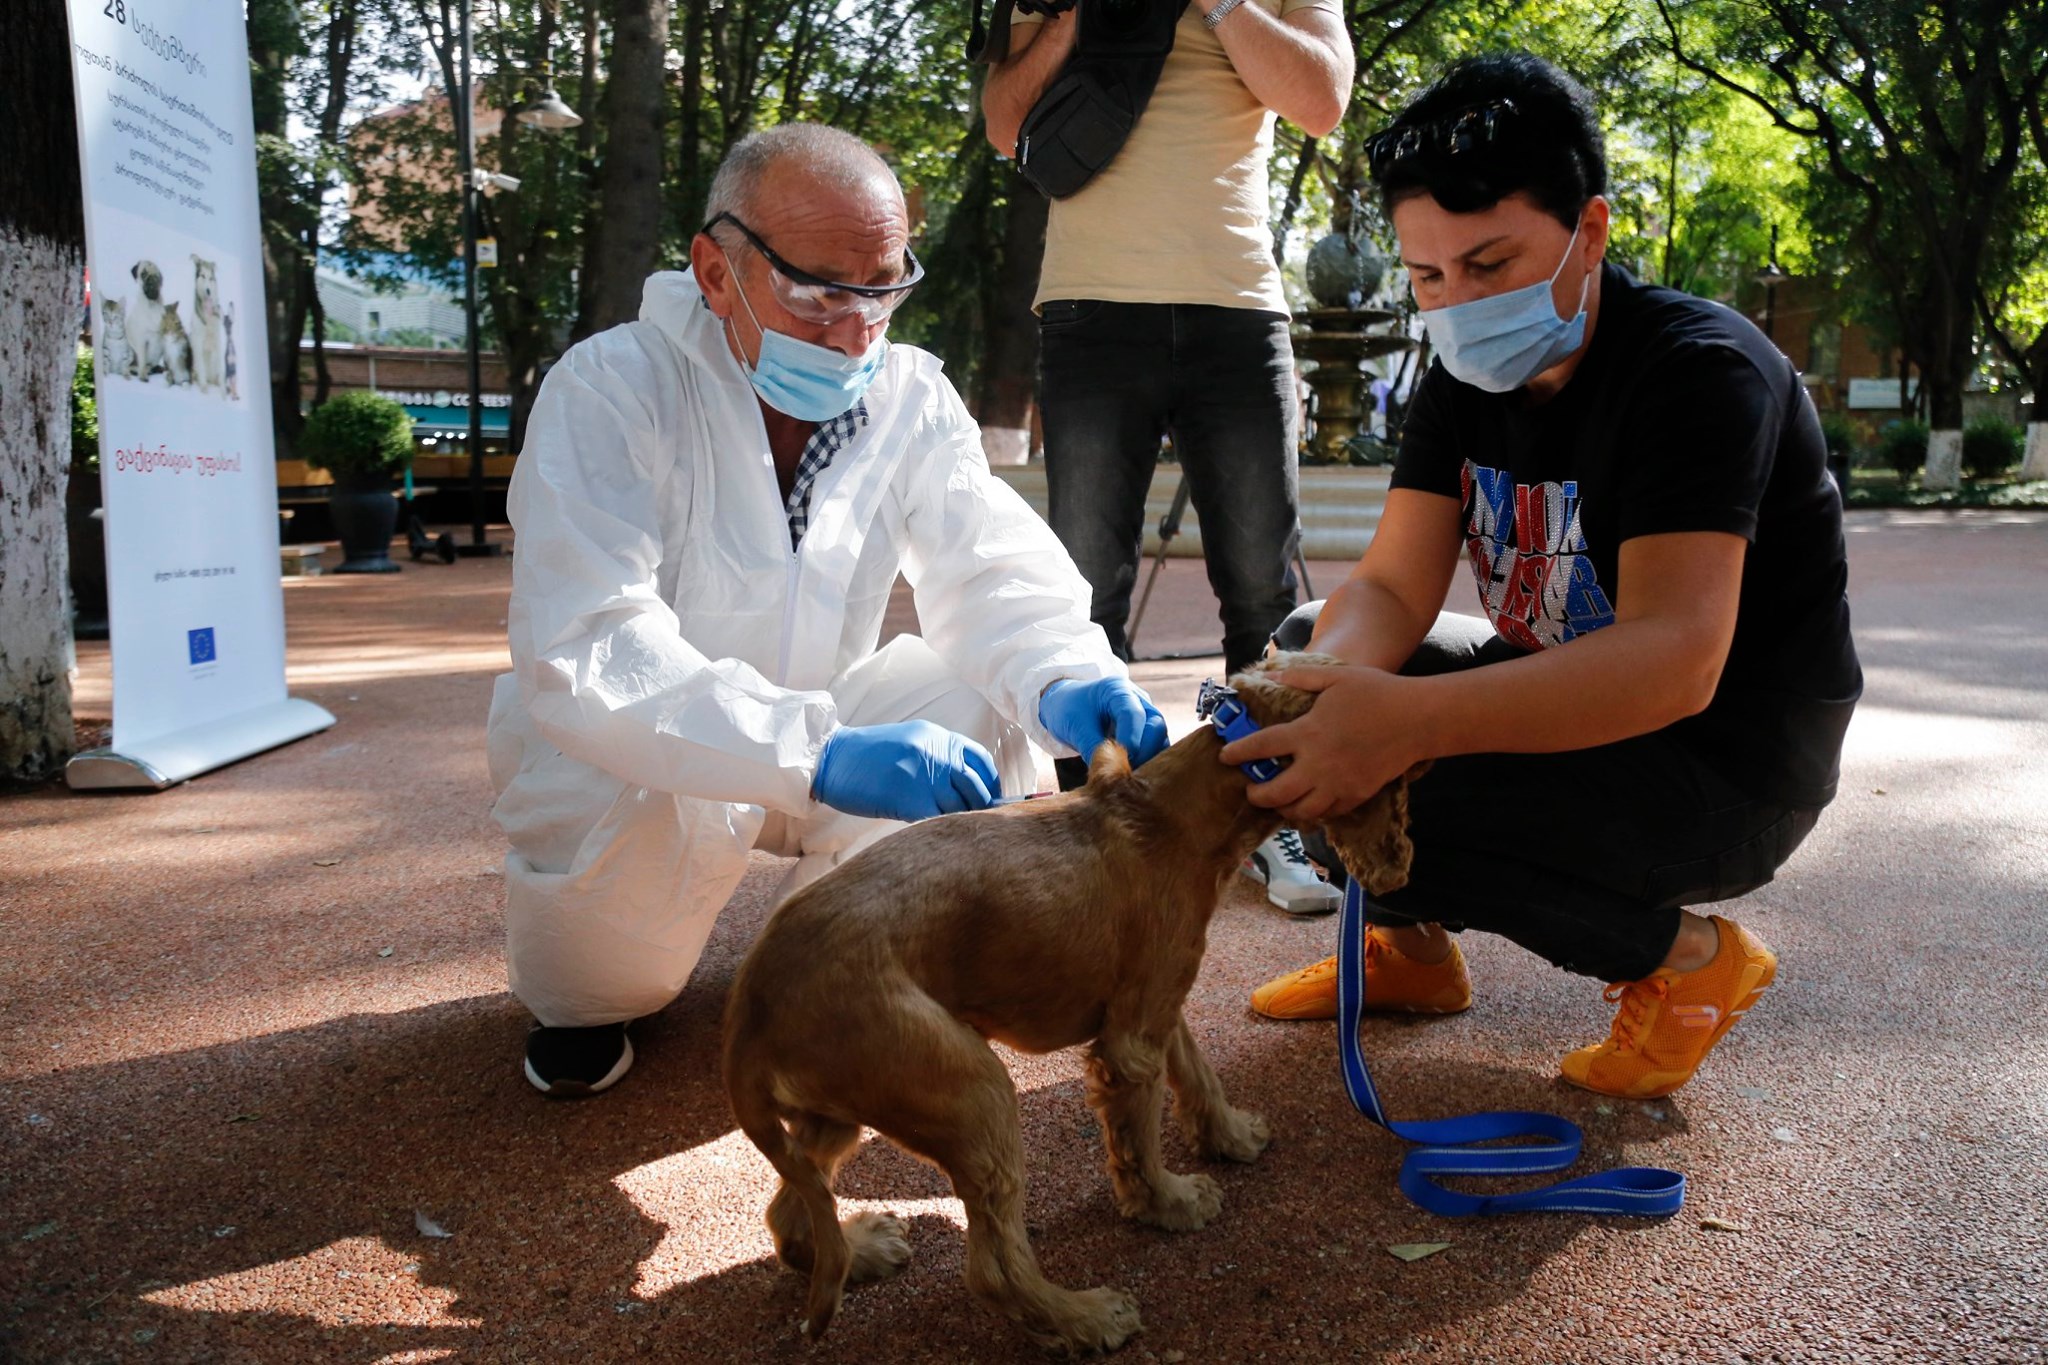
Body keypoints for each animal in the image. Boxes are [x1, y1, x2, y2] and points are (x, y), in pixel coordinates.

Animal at [720, 654, 1425, 1358]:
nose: (1397, 871)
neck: (1171, 813)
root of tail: (748, 1015)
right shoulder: (1132, 1042)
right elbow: (1140, 1140)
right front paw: (1169, 1203)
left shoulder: (1157, 1001)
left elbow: (1198, 1073)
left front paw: (1226, 1137)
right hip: (971, 1092)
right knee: (992, 1267)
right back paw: (1084, 1317)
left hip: (840, 1112)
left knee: (792, 1213)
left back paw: (864, 1250)